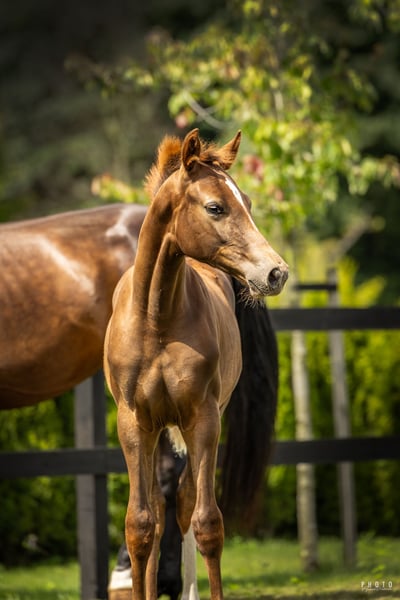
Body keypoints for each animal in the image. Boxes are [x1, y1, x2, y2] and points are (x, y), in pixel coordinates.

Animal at [104, 129, 288, 600]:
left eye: (249, 203)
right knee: (158, 507)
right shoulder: (134, 421)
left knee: (185, 502)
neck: (157, 319)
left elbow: (207, 523)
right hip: (156, 431)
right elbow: (140, 524)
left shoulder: (203, 418)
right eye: (215, 207)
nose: (276, 272)